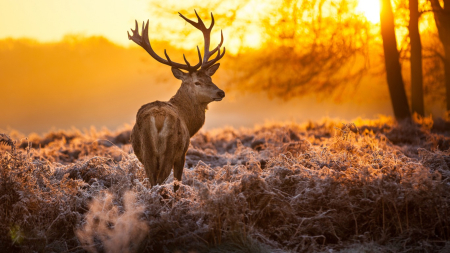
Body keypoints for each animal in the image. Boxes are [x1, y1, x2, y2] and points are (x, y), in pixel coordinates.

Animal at [126, 10, 225, 192]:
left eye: (210, 78)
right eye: (197, 82)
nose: (220, 92)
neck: (189, 121)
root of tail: (158, 118)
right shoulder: (183, 153)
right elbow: (178, 183)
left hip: (146, 153)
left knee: (153, 181)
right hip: (170, 150)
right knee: (160, 181)